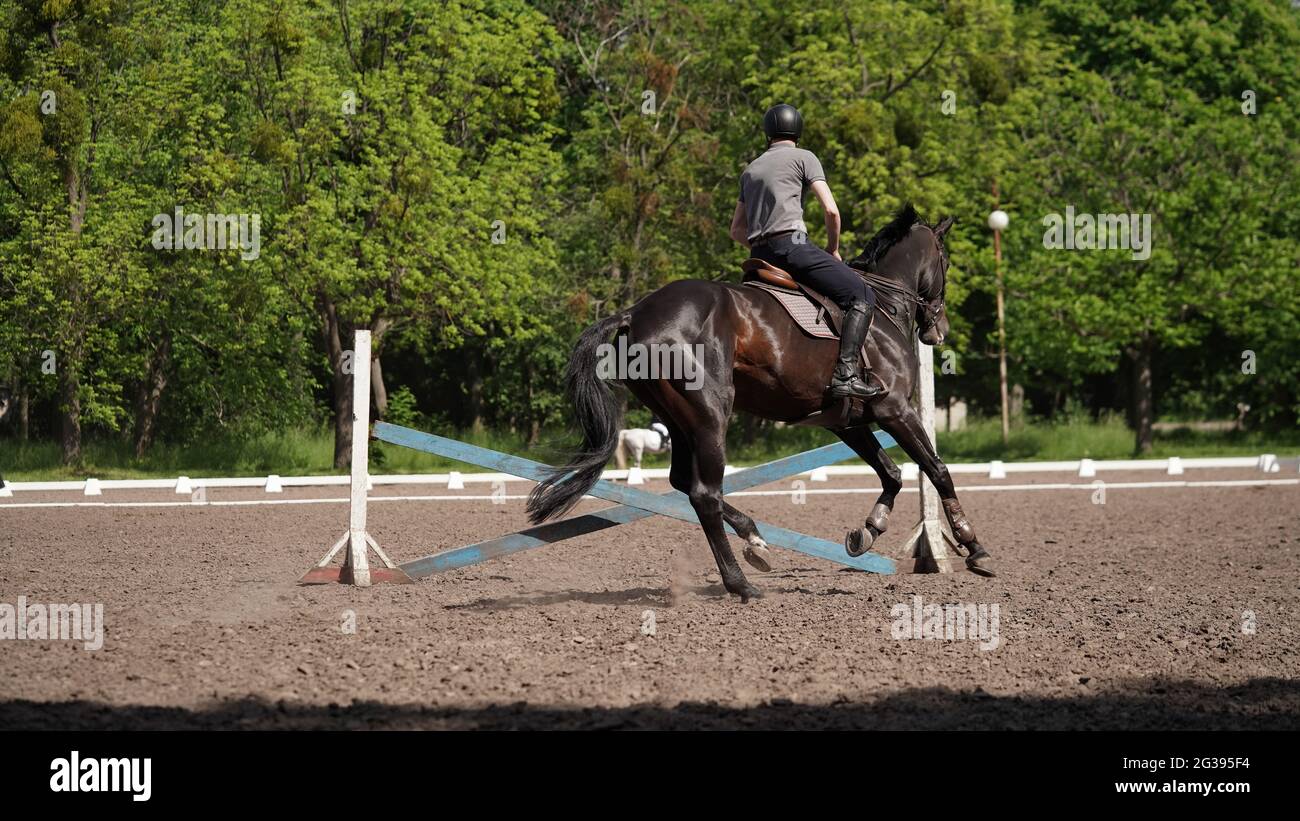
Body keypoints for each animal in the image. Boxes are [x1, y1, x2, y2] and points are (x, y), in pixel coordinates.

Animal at [527, 206, 995, 602]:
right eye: (946, 262)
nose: (939, 331)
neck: (881, 306)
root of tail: (636, 313)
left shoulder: (847, 421)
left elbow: (893, 473)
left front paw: (867, 533)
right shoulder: (895, 409)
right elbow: (937, 470)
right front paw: (974, 547)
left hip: (679, 420)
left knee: (684, 483)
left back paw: (755, 541)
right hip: (711, 414)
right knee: (704, 494)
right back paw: (741, 584)